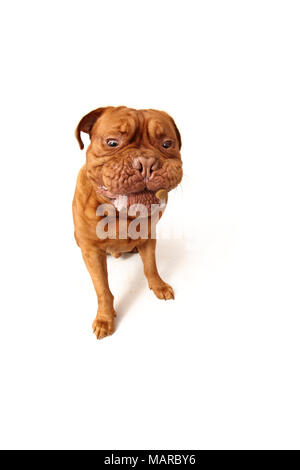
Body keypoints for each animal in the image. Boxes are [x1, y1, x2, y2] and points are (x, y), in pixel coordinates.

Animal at [73, 106, 183, 338]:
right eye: (112, 142)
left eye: (167, 144)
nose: (146, 163)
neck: (121, 214)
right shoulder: (91, 252)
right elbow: (102, 289)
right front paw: (105, 319)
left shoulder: (149, 238)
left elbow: (150, 266)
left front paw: (158, 286)